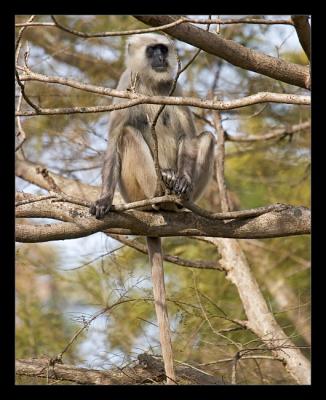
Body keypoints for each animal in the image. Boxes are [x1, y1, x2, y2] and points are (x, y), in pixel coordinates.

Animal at [90, 34, 215, 384]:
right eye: (152, 50)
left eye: (163, 49)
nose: (161, 58)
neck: (149, 84)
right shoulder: (124, 87)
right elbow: (115, 139)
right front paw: (104, 200)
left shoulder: (175, 87)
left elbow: (189, 136)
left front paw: (182, 179)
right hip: (134, 188)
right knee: (128, 133)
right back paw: (159, 196)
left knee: (205, 136)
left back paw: (177, 191)